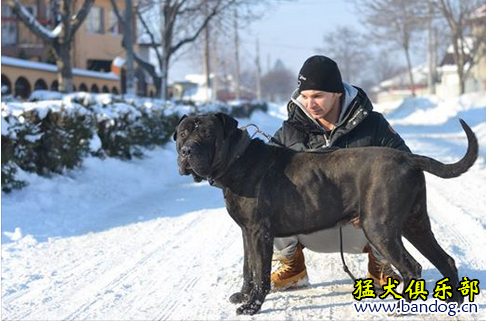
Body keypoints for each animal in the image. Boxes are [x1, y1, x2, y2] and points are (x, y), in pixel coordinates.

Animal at [173, 112, 476, 316]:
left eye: (207, 134)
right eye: (183, 133)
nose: (186, 151)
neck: (236, 160)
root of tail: (408, 158)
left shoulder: (260, 233)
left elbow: (260, 273)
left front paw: (252, 307)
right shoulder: (247, 233)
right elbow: (249, 268)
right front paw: (243, 296)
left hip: (380, 229)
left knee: (412, 268)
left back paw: (403, 308)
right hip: (415, 223)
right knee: (445, 259)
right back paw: (455, 302)